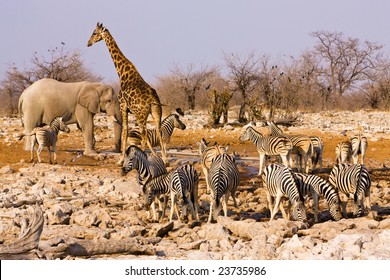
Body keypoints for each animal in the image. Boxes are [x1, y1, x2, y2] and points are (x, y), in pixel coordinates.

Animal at [87, 23, 166, 163]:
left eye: (94, 33)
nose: (88, 43)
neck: (123, 72)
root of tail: (152, 99)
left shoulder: (123, 106)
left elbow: (124, 132)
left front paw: (120, 160)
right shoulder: (129, 110)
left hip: (141, 115)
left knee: (144, 137)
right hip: (156, 112)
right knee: (159, 132)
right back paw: (165, 160)